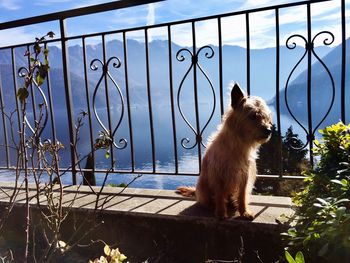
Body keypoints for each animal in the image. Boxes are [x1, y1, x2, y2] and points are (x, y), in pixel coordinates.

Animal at [176, 83, 272, 220]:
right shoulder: (218, 175)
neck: (238, 145)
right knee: (209, 200)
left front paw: (244, 211)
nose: (269, 130)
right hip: (203, 187)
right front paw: (221, 213)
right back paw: (213, 206)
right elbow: (220, 196)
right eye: (253, 116)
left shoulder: (244, 175)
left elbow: (242, 195)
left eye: (266, 117)